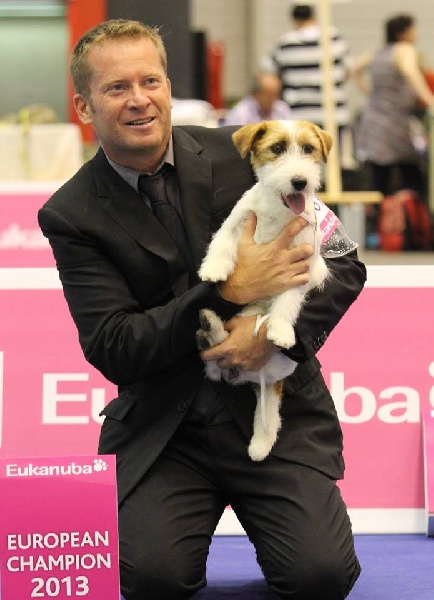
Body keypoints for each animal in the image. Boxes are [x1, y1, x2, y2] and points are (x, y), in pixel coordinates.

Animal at [196, 119, 332, 461]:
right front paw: (214, 268)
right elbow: (222, 243)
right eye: (277, 148)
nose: (300, 181)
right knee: (215, 362)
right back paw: (209, 328)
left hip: (275, 371)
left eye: (308, 149)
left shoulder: (300, 267)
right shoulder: (237, 220)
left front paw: (281, 330)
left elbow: (287, 302)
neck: (279, 213)